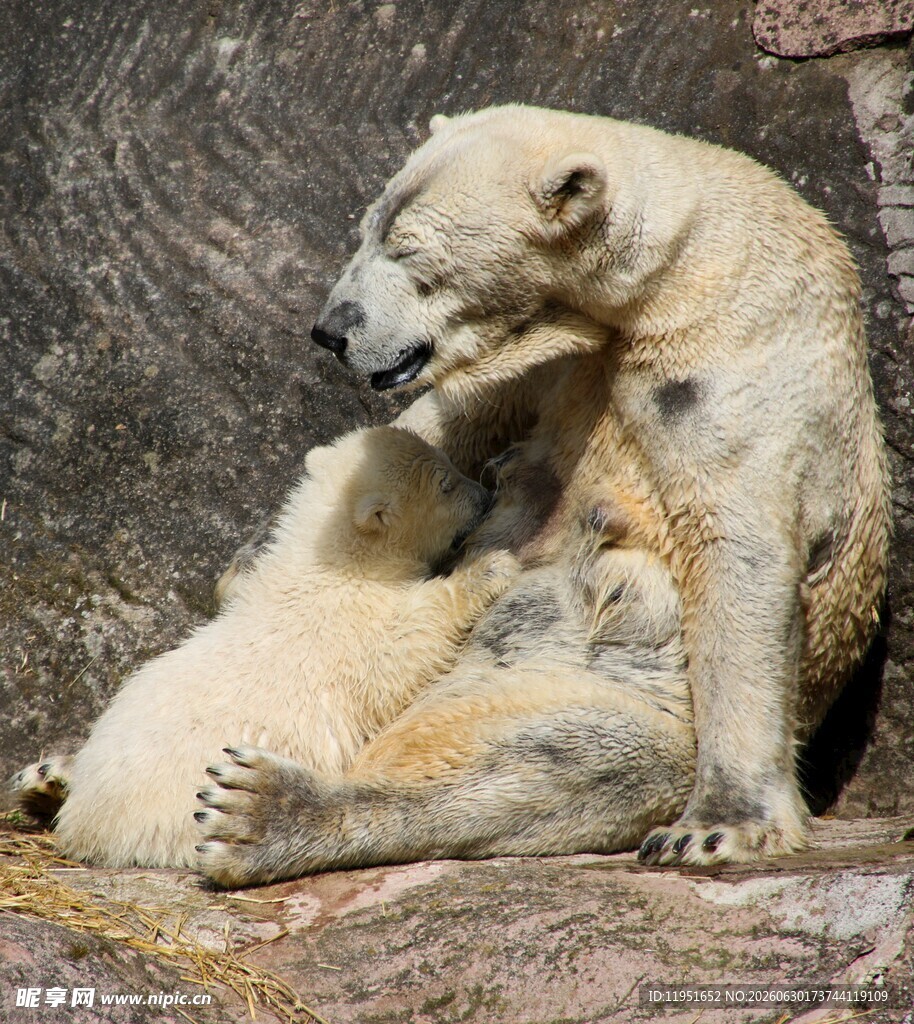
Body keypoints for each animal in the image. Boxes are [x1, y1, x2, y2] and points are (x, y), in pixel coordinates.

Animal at [10, 426, 517, 867]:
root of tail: (86, 824)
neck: (324, 564)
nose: (485, 491)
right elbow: (408, 646)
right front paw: (490, 568)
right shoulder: (347, 627)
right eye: (447, 483)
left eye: (450, 463)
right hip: (178, 811)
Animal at [302, 104, 890, 868]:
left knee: (556, 758)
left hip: (581, 686)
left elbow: (739, 556)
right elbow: (463, 413)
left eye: (410, 252)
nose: (331, 330)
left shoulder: (732, 365)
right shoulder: (563, 362)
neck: (675, 274)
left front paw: (716, 825)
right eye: (366, 231)